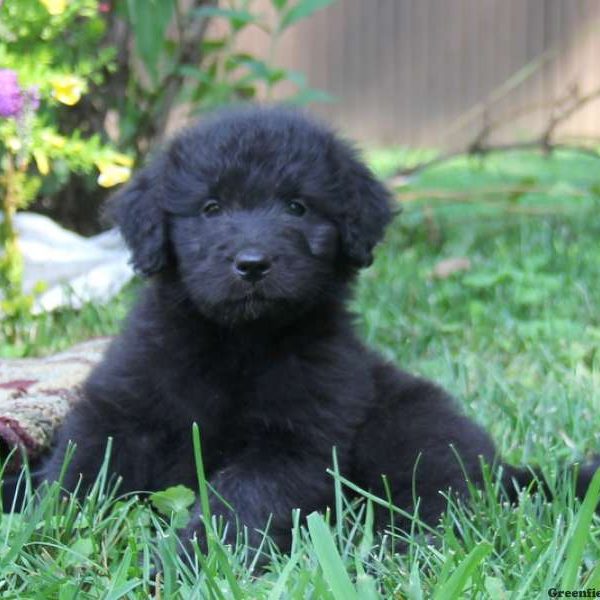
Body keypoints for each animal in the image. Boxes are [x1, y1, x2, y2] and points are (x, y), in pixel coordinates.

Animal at [38, 106, 596, 552]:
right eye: (211, 208)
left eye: (297, 207)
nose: (252, 263)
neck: (238, 344)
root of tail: (503, 468)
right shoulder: (122, 408)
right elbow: (75, 468)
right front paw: (34, 518)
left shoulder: (296, 444)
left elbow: (241, 503)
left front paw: (188, 560)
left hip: (412, 435)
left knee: (437, 511)